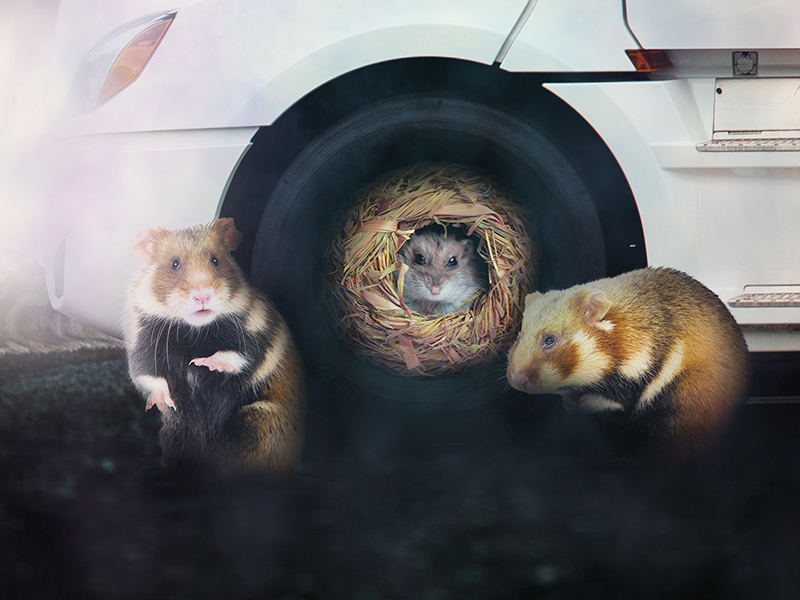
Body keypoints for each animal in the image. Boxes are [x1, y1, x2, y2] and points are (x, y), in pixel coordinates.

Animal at [125, 218, 305, 480]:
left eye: (216, 260)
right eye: (174, 264)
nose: (203, 296)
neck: (194, 331)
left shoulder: (255, 334)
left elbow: (235, 355)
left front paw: (201, 363)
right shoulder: (144, 344)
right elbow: (149, 375)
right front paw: (162, 401)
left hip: (258, 424)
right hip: (176, 435)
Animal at [506, 267, 750, 459]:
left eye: (550, 340)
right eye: (518, 337)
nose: (517, 380)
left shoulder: (641, 367)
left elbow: (620, 397)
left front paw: (583, 403)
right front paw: (570, 403)